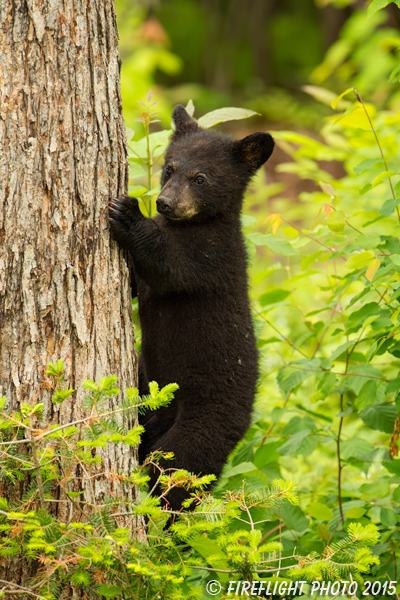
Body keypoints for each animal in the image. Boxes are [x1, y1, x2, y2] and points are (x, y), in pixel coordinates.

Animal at [108, 105, 274, 516]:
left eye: (200, 178)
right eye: (169, 168)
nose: (164, 203)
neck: (194, 223)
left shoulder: (211, 256)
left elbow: (169, 266)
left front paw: (129, 212)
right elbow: (138, 283)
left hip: (201, 427)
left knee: (175, 478)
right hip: (149, 399)